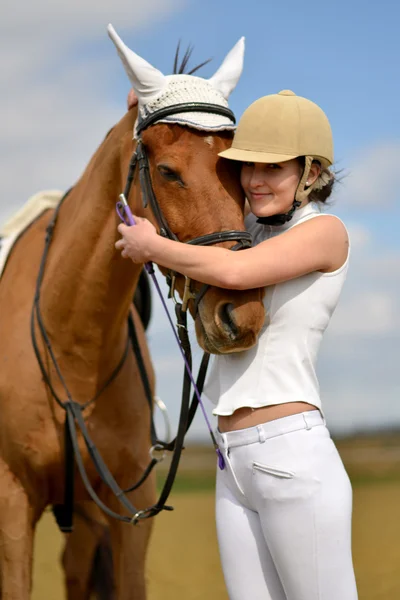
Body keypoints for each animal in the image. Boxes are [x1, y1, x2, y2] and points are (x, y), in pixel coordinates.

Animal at [0, 28, 266, 600]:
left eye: (242, 173)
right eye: (167, 171)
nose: (243, 313)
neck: (73, 339)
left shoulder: (130, 513)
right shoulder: (11, 502)